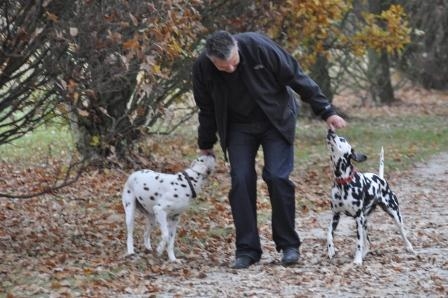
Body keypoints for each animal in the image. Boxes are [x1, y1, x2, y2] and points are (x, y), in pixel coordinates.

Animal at [326, 129, 412, 264]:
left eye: (342, 139)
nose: (331, 130)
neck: (343, 182)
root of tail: (381, 179)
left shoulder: (358, 218)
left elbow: (358, 242)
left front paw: (357, 260)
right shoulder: (336, 215)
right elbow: (329, 234)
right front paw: (331, 250)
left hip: (394, 215)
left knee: (402, 232)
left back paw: (409, 246)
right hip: (364, 222)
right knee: (368, 242)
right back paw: (364, 254)